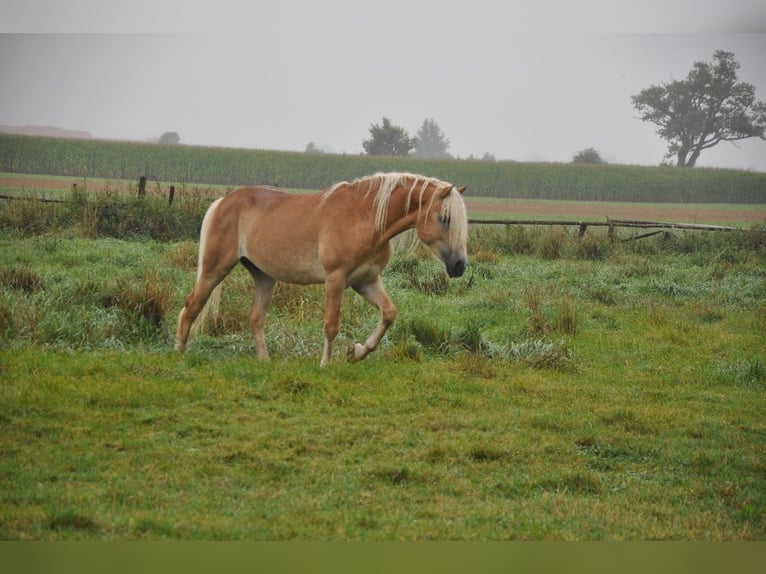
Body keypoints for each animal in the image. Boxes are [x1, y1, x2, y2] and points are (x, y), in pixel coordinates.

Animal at [176, 172, 472, 368]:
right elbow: (331, 325)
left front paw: (357, 352)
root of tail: (223, 201)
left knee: (255, 319)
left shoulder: (366, 281)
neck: (363, 218)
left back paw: (265, 361)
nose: (459, 266)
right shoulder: (336, 279)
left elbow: (389, 314)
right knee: (191, 306)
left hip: (264, 276)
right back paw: (178, 353)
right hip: (215, 269)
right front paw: (325, 365)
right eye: (445, 218)